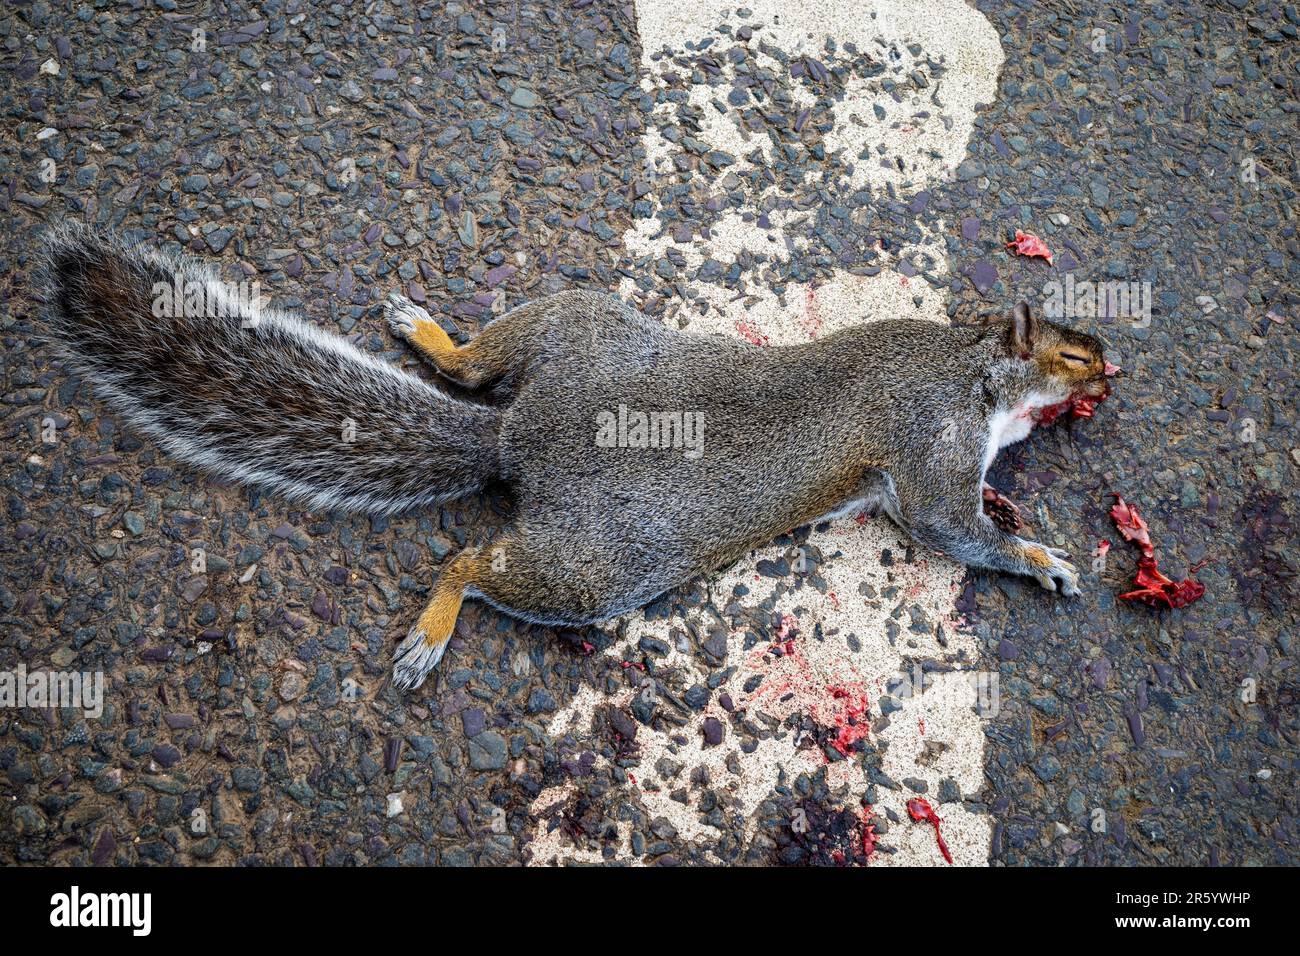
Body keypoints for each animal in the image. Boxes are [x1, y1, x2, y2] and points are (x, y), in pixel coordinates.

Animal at [38, 222, 1116, 691]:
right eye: (1070, 352)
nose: (1114, 365)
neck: (966, 365)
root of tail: (518, 439)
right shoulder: (927, 439)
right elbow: (949, 526)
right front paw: (1040, 558)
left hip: (567, 327)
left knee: (473, 369)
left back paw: (429, 333)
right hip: (593, 565)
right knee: (470, 561)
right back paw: (430, 631)